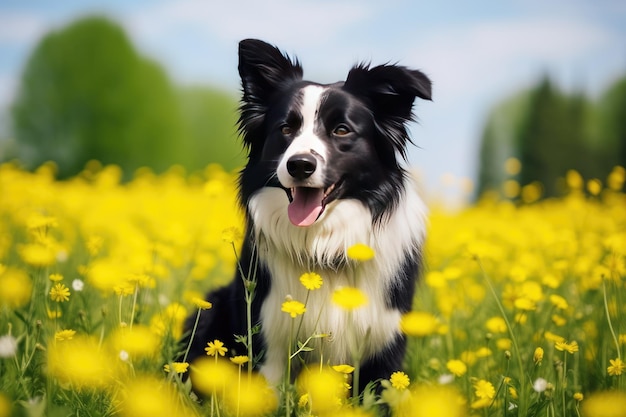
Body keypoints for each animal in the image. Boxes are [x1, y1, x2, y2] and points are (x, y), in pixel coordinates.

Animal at [183, 39, 432, 394]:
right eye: (286, 128)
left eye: (341, 130)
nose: (300, 164)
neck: (323, 246)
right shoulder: (269, 342)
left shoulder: (384, 347)